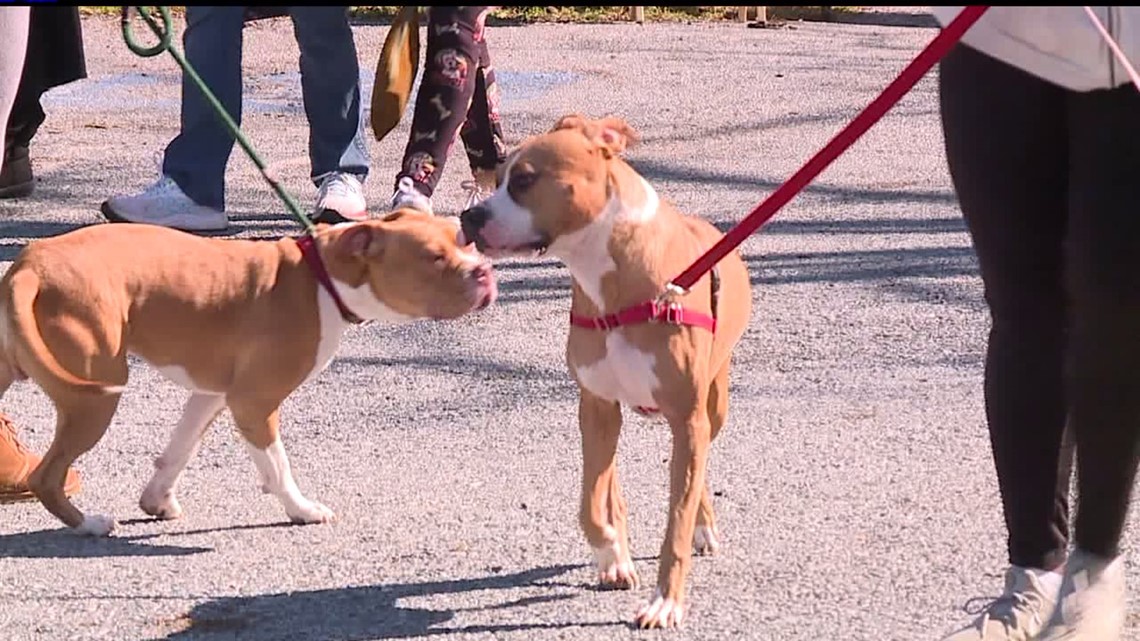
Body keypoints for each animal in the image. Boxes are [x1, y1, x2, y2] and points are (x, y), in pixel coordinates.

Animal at [1, 209, 499, 533]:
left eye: (464, 241)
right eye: (433, 258)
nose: (484, 271)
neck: (322, 278)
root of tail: (31, 265)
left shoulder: (213, 393)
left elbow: (179, 448)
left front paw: (157, 500)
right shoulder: (253, 403)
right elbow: (277, 466)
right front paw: (301, 510)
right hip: (95, 397)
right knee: (47, 476)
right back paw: (88, 524)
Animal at [458, 113, 752, 625]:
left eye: (525, 180)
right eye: (497, 180)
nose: (468, 218)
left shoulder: (686, 418)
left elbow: (677, 515)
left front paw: (665, 601)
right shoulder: (596, 406)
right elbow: (590, 504)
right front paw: (612, 551)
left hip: (712, 408)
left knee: (699, 468)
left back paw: (702, 527)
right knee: (611, 483)